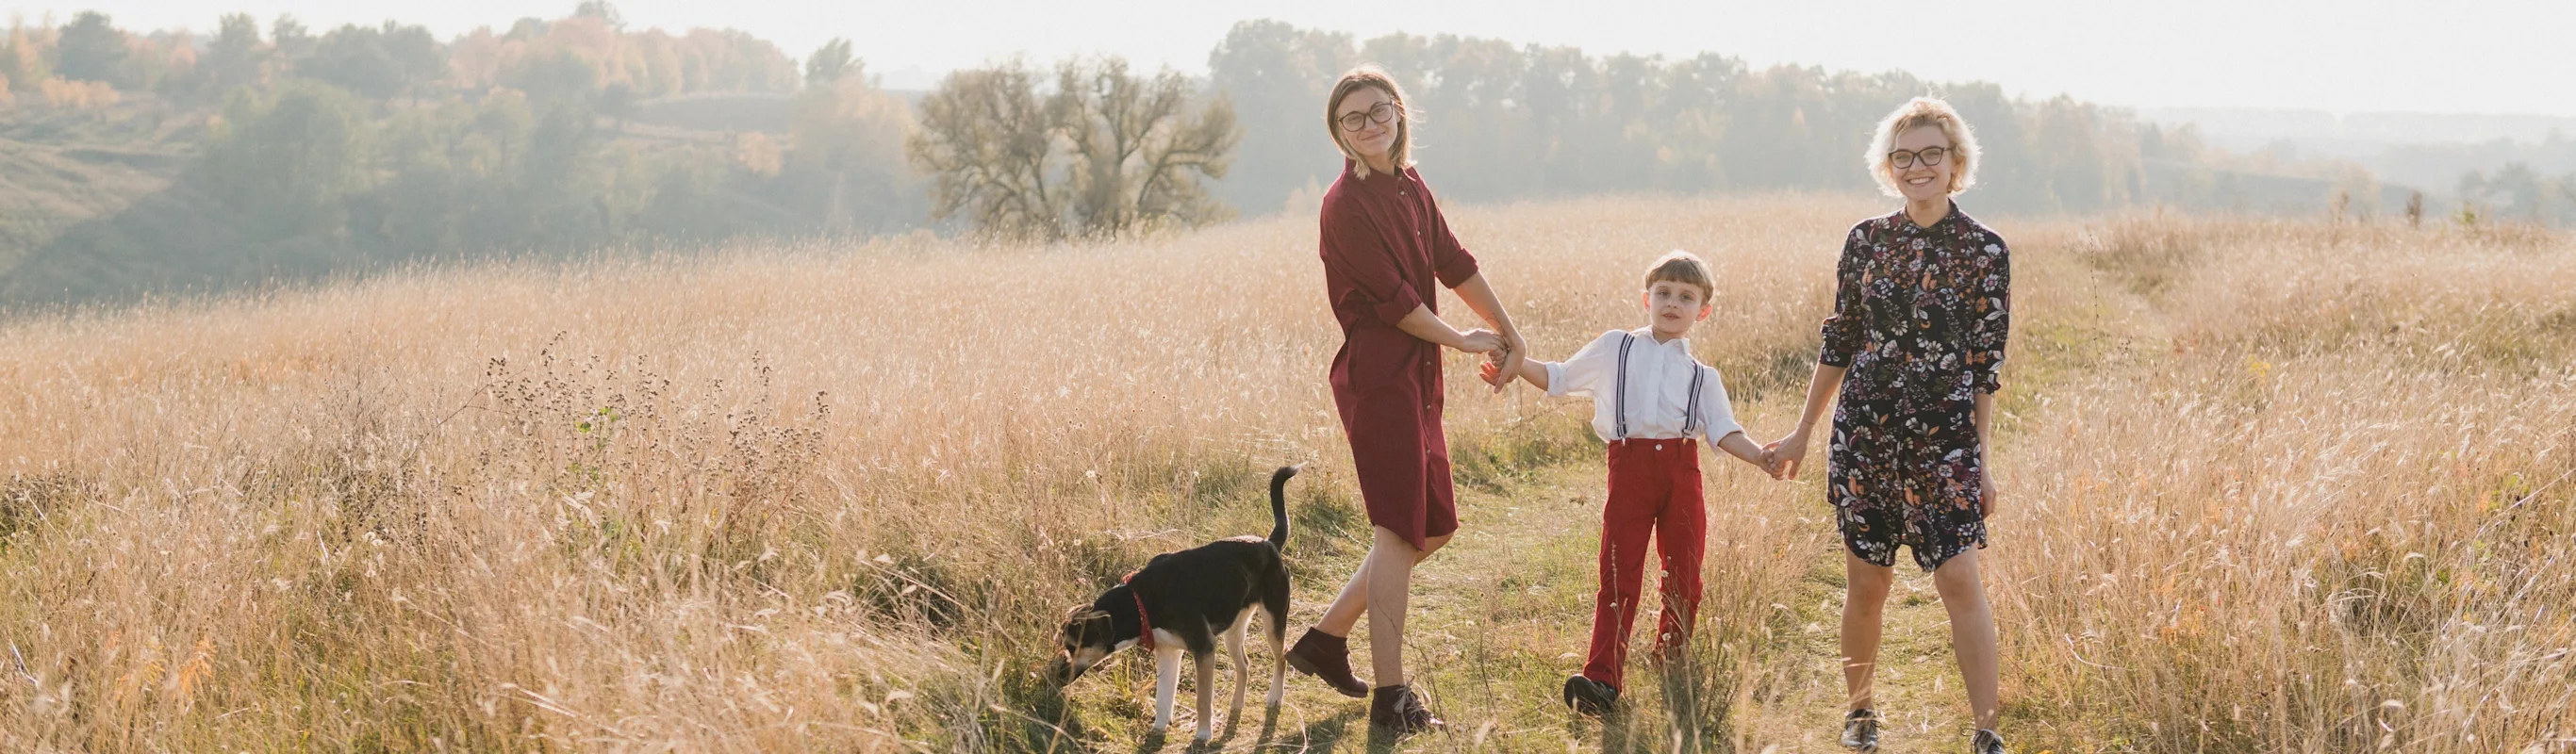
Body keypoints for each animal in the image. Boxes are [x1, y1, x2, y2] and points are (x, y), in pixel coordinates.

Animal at [1046, 463, 1297, 741]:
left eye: (1072, 646)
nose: (1055, 676)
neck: (1140, 602)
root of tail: (1269, 544)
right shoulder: (1168, 652)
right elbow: (1163, 697)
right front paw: (1158, 727)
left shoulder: (1204, 648)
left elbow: (1202, 699)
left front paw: (1203, 733)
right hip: (1234, 629)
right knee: (1244, 664)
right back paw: (1237, 703)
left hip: (1273, 619)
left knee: (1283, 656)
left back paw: (1275, 697)